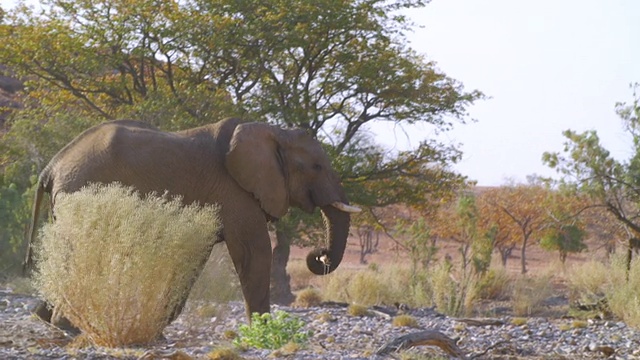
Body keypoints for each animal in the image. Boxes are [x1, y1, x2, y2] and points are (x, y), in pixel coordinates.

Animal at [25, 116, 360, 328]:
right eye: (316, 167)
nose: (319, 255)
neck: (274, 131)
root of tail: (52, 165)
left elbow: (196, 256)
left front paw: (159, 328)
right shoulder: (235, 191)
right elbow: (254, 252)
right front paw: (263, 331)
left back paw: (47, 319)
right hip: (84, 191)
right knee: (82, 250)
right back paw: (67, 326)